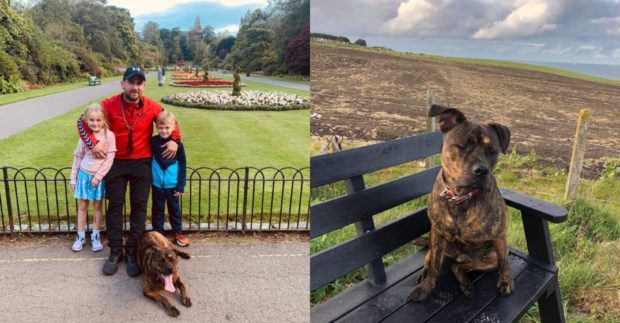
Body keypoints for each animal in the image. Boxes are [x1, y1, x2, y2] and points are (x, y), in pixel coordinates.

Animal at [410, 105, 516, 304]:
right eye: (463, 146)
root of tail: (459, 256)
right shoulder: (438, 233)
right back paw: (425, 272)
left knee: (459, 266)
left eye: (492, 151)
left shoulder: (500, 237)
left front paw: (506, 281)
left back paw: (466, 284)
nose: (482, 170)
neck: (460, 196)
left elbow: (505, 263)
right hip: (439, 242)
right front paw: (425, 288)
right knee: (431, 257)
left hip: (490, 257)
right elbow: (434, 264)